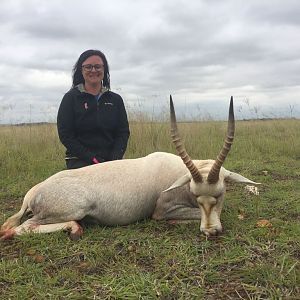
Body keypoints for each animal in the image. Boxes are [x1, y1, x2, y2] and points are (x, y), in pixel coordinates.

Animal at [0, 97, 258, 240]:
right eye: (195, 195)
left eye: (221, 193)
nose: (210, 231)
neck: (178, 173)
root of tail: (35, 192)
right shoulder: (161, 210)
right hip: (68, 210)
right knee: (20, 229)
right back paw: (74, 229)